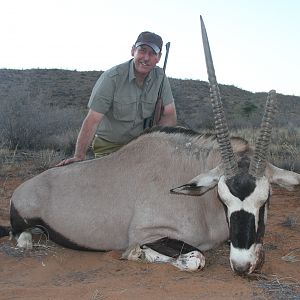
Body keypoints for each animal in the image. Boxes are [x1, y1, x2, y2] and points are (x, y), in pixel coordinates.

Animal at [0, 17, 300, 274]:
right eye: (223, 199)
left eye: (266, 199)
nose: (242, 265)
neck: (201, 203)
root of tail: (23, 188)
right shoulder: (149, 232)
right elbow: (195, 258)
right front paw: (136, 254)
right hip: (23, 221)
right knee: (19, 234)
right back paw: (28, 241)